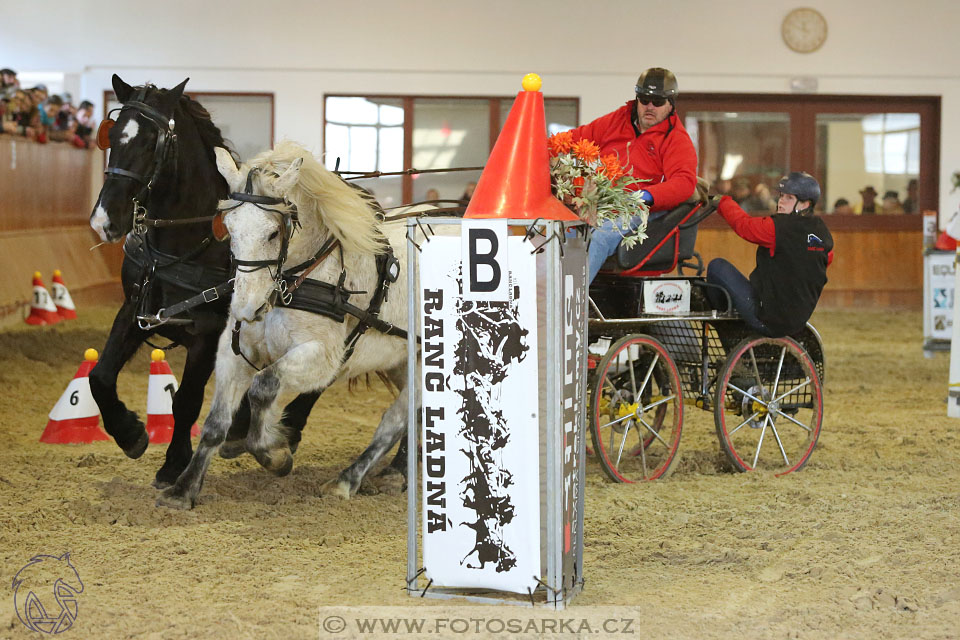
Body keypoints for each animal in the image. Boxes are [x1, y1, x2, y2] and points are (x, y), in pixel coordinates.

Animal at [87, 74, 318, 484]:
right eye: (111, 136)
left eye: (152, 141)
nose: (104, 220)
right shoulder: (135, 310)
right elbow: (99, 376)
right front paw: (130, 433)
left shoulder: (207, 332)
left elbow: (186, 400)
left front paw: (174, 462)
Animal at [158, 141, 412, 510]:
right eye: (228, 228)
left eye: (273, 232)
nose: (247, 308)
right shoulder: (234, 351)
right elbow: (215, 423)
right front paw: (183, 489)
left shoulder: (320, 357)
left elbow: (263, 387)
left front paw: (275, 454)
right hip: (398, 362)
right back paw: (397, 472)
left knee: (395, 419)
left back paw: (348, 480)